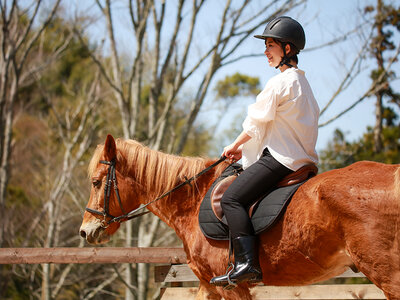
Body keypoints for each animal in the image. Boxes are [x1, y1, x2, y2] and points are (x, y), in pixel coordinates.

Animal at [79, 136, 400, 300]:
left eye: (96, 182)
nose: (85, 231)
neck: (192, 200)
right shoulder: (209, 286)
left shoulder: (232, 286)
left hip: (388, 275)